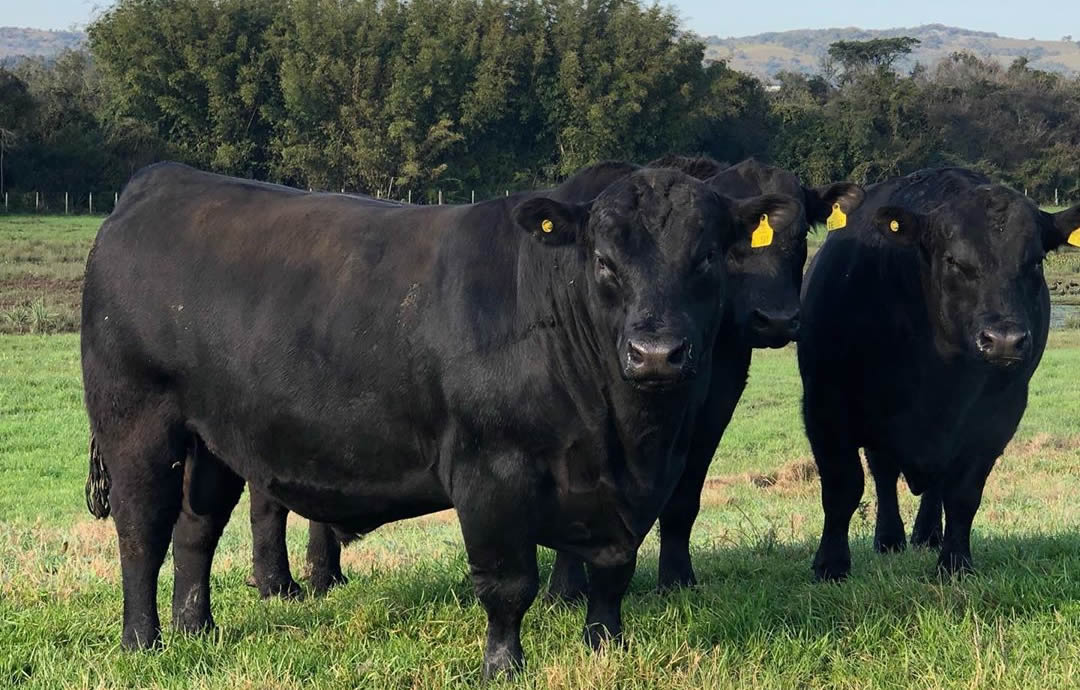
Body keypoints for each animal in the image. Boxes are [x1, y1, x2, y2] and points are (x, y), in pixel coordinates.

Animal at [82, 160, 803, 673]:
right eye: (603, 261)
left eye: (707, 257)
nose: (656, 353)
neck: (625, 436)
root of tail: (160, 181)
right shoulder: (490, 470)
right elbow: (508, 582)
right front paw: (503, 666)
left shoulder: (627, 491)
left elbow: (612, 571)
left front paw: (606, 647)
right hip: (136, 420)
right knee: (142, 530)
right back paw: (143, 642)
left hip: (212, 437)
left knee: (196, 528)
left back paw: (197, 628)